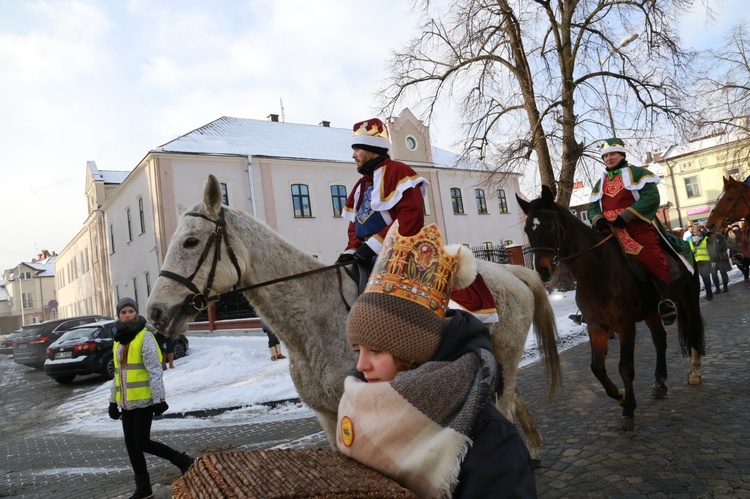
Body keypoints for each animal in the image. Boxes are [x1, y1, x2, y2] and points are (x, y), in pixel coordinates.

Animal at [147, 176, 560, 464]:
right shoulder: (328, 416)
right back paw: (535, 451)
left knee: (505, 405)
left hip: (507, 355)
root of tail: (511, 272)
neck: (314, 321)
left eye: (190, 242)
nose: (154, 313)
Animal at [520, 187, 708, 430]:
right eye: (527, 229)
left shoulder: (625, 326)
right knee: (660, 340)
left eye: (550, 225)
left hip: (689, 297)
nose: (542, 270)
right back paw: (660, 382)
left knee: (693, 331)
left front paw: (629, 408)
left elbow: (625, 367)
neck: (597, 270)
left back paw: (694, 371)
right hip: (651, 312)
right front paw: (619, 396)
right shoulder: (596, 327)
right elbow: (597, 367)